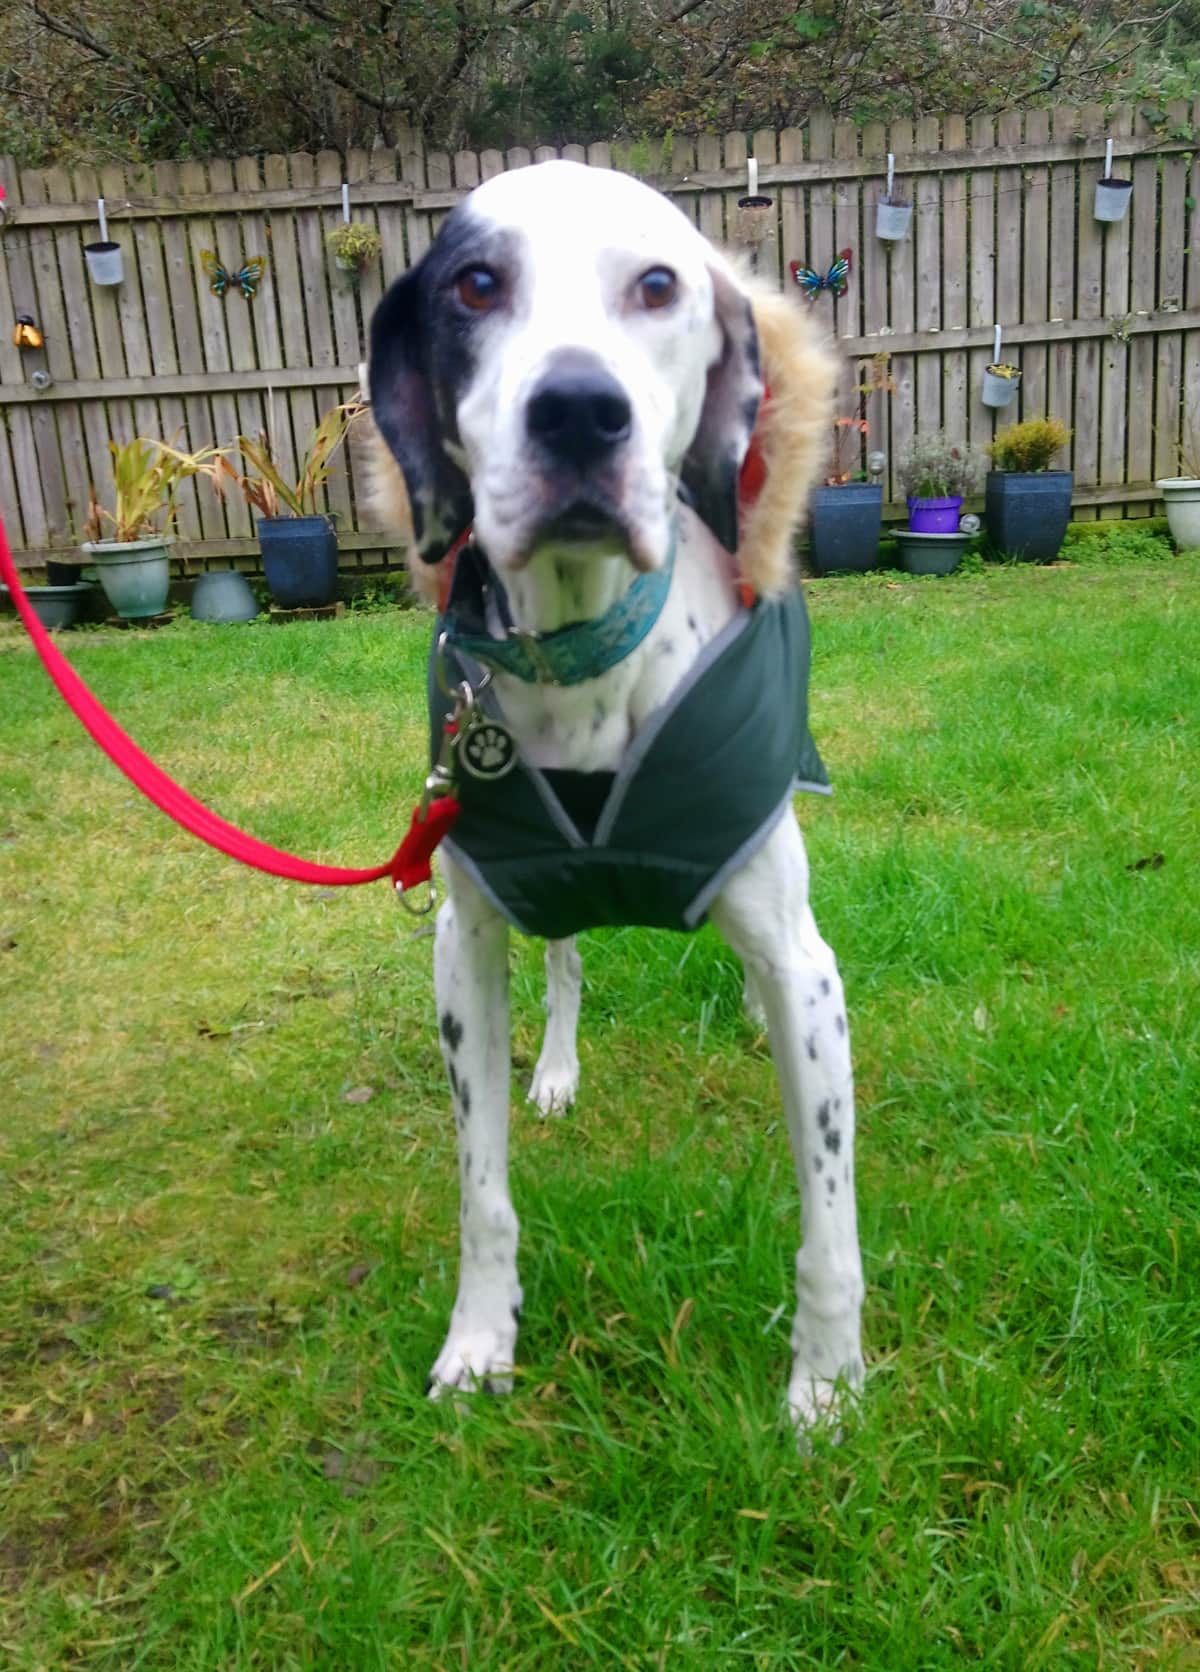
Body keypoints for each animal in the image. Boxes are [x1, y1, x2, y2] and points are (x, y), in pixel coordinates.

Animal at [368, 160, 864, 1431]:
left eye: (657, 284)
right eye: (475, 284)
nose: (580, 410)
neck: (589, 654)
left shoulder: (805, 960)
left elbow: (827, 1221)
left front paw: (827, 1383)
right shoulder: (463, 941)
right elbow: (482, 1191)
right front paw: (480, 1340)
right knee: (568, 961)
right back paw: (555, 1069)